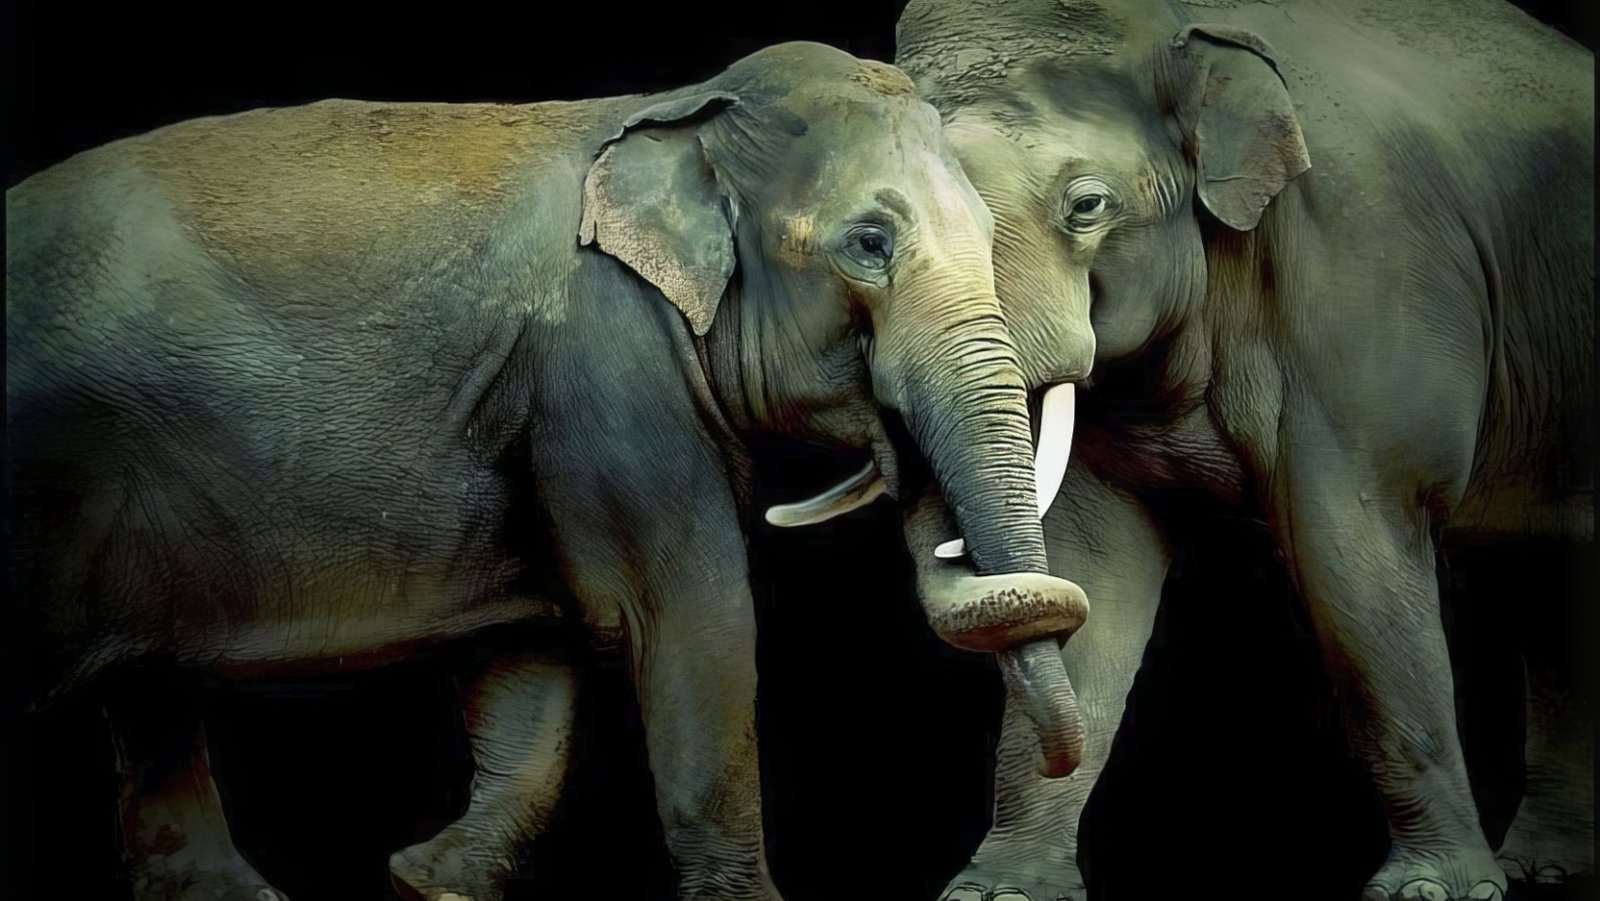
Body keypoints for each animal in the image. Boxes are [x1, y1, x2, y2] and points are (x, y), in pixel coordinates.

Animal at [4, 41, 1095, 901]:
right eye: (869, 242)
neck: (677, 106)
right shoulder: (606, 368)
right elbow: (687, 617)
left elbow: (533, 652)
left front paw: (427, 881)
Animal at [883, 1, 1595, 899]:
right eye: (869, 236)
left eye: (1088, 206)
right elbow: (1092, 565)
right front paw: (1002, 891)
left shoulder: (1367, 274)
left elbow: (1351, 553)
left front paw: (1434, 891)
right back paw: (1548, 867)